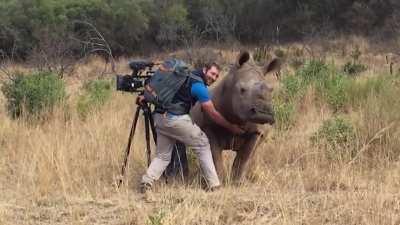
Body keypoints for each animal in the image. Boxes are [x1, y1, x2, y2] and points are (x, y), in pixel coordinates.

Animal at [167, 51, 280, 181]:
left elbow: (243, 158)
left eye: (271, 90)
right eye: (242, 90)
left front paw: (238, 182)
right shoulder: (208, 127)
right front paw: (221, 180)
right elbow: (215, 156)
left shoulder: (257, 131)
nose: (264, 114)